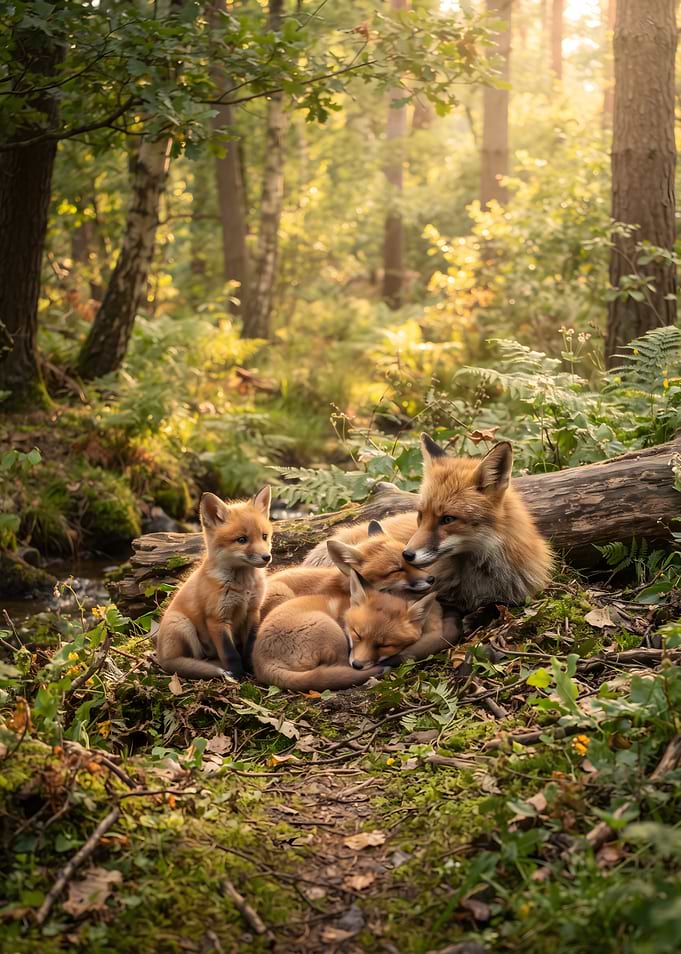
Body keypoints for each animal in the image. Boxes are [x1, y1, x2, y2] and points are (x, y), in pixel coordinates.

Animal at [155, 486, 272, 681]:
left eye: (264, 536)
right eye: (242, 540)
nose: (267, 557)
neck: (243, 588)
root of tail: (160, 657)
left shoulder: (253, 611)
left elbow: (250, 646)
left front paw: (250, 667)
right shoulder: (217, 618)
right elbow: (230, 653)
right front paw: (237, 674)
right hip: (181, 624)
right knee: (188, 660)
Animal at [252, 569, 440, 692]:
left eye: (385, 645)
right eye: (357, 634)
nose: (357, 665)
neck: (344, 613)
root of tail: (261, 663)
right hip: (331, 631)